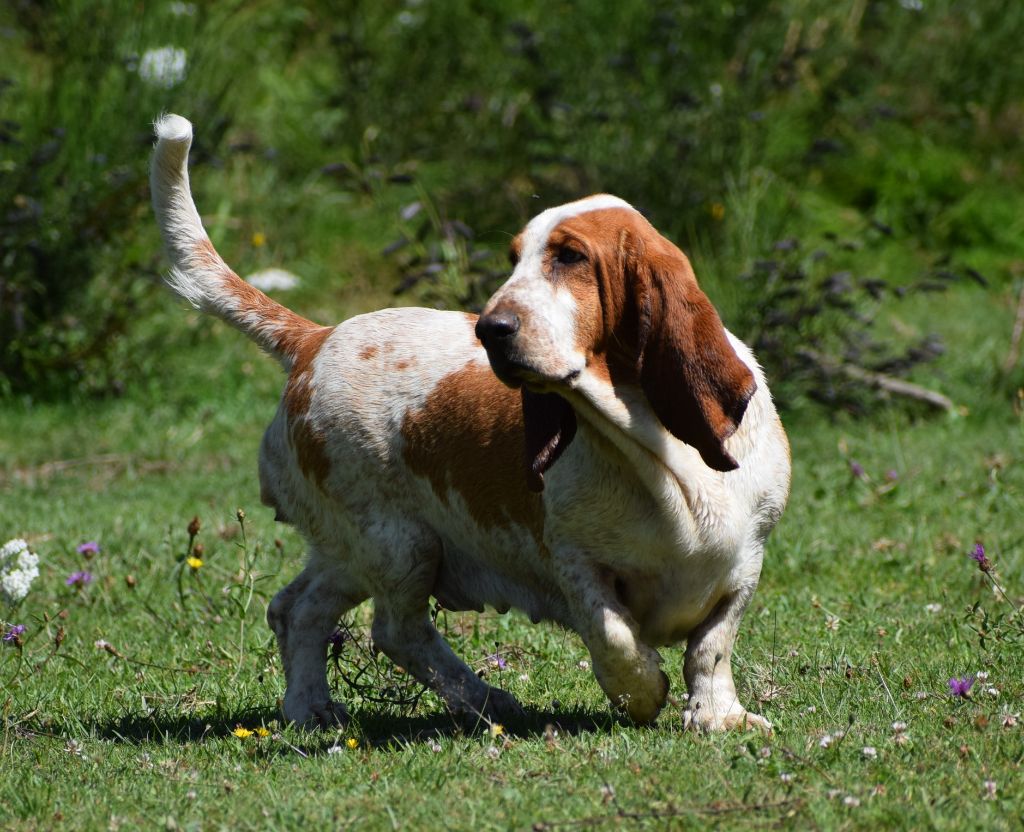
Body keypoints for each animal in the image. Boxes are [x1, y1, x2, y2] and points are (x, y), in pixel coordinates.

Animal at [151, 115, 790, 729]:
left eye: (570, 257)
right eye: (514, 259)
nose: (490, 329)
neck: (654, 452)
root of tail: (315, 339)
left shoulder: (746, 561)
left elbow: (711, 647)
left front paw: (719, 717)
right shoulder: (574, 561)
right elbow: (614, 635)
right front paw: (642, 693)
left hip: (351, 552)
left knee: (296, 608)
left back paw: (311, 709)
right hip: (398, 543)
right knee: (395, 630)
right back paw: (486, 701)